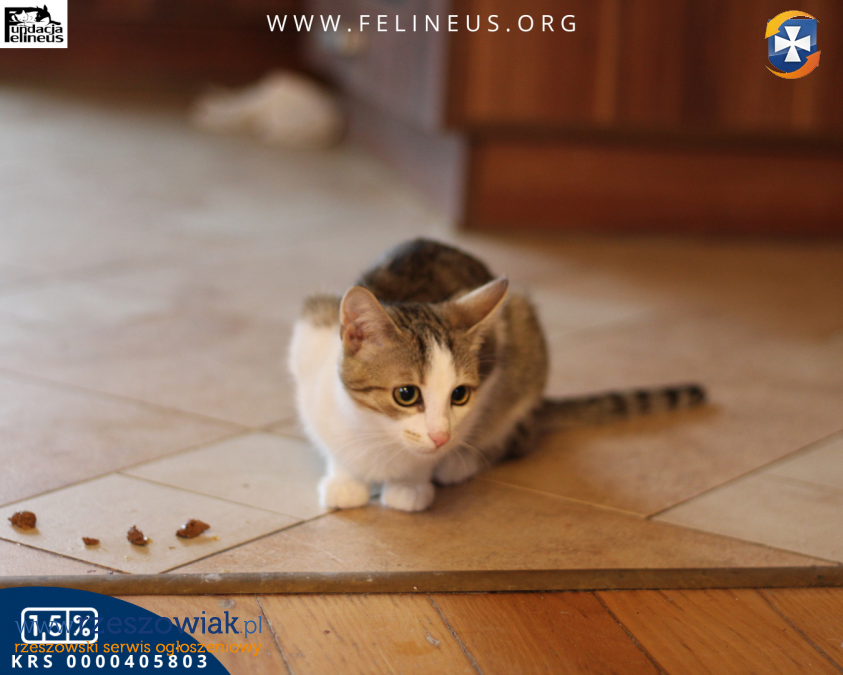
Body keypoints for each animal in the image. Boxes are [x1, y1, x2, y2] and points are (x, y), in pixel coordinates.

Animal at [289, 239, 706, 512]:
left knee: (518, 436)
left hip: (524, 334)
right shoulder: (310, 337)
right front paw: (346, 479)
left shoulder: (495, 365)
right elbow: (334, 445)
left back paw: (462, 463)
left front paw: (412, 483)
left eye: (459, 395)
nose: (441, 437)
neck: (378, 435)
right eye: (406, 394)